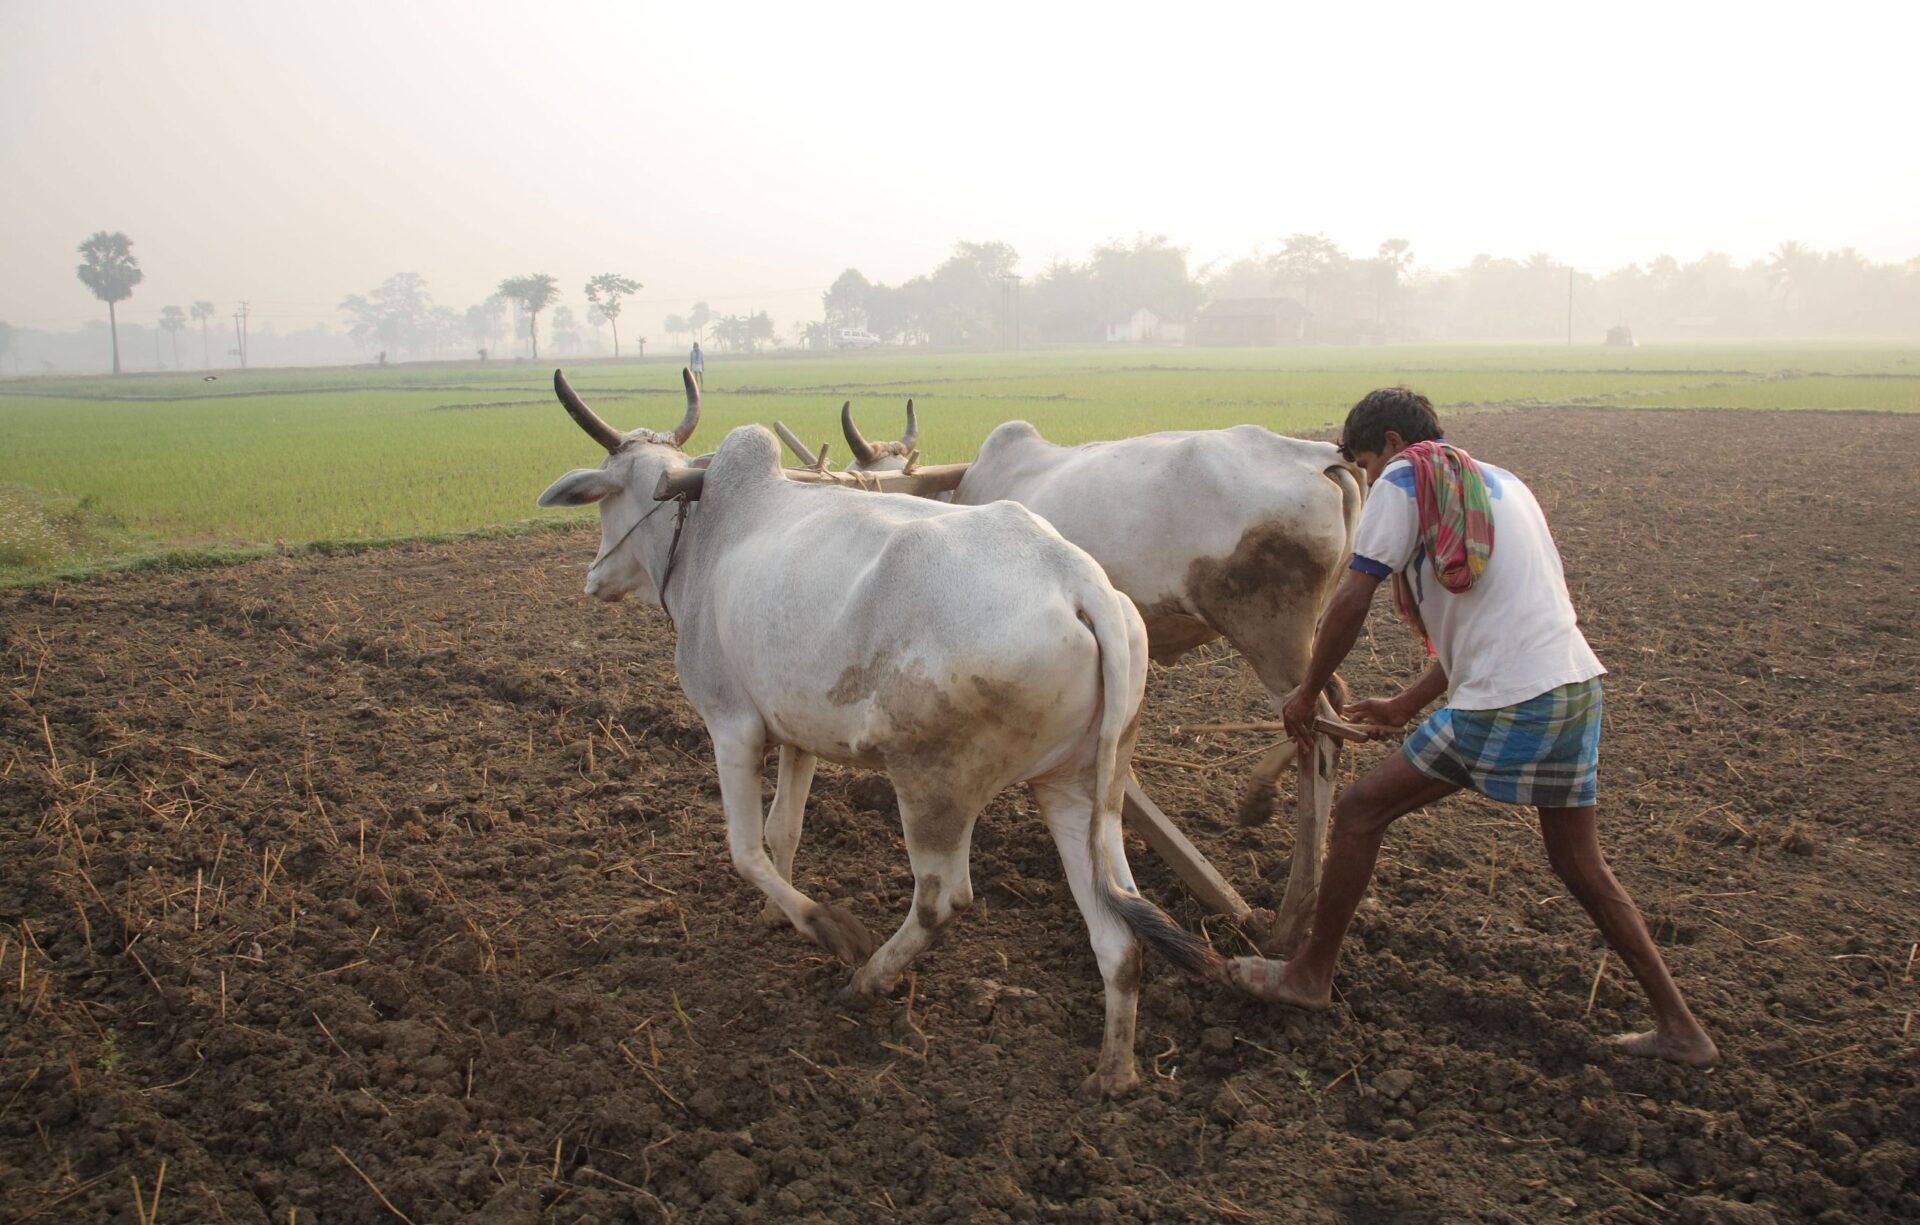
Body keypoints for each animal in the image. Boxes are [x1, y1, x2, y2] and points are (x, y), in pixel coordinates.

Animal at [537, 370, 1220, 1095]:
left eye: (604, 499)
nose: (593, 577)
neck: (707, 533)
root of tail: (1079, 581)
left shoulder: (732, 725)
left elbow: (745, 849)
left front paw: (823, 925)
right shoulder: (796, 734)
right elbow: (783, 831)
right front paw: (775, 915)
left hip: (931, 783)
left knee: (945, 899)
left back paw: (867, 978)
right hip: (1080, 784)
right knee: (1118, 928)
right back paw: (1112, 1070)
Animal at [824, 402, 1364, 954]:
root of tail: (1319, 458)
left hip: (1269, 633)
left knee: (1317, 731)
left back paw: (1291, 915)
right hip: (1310, 634)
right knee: (1333, 705)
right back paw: (1268, 822)